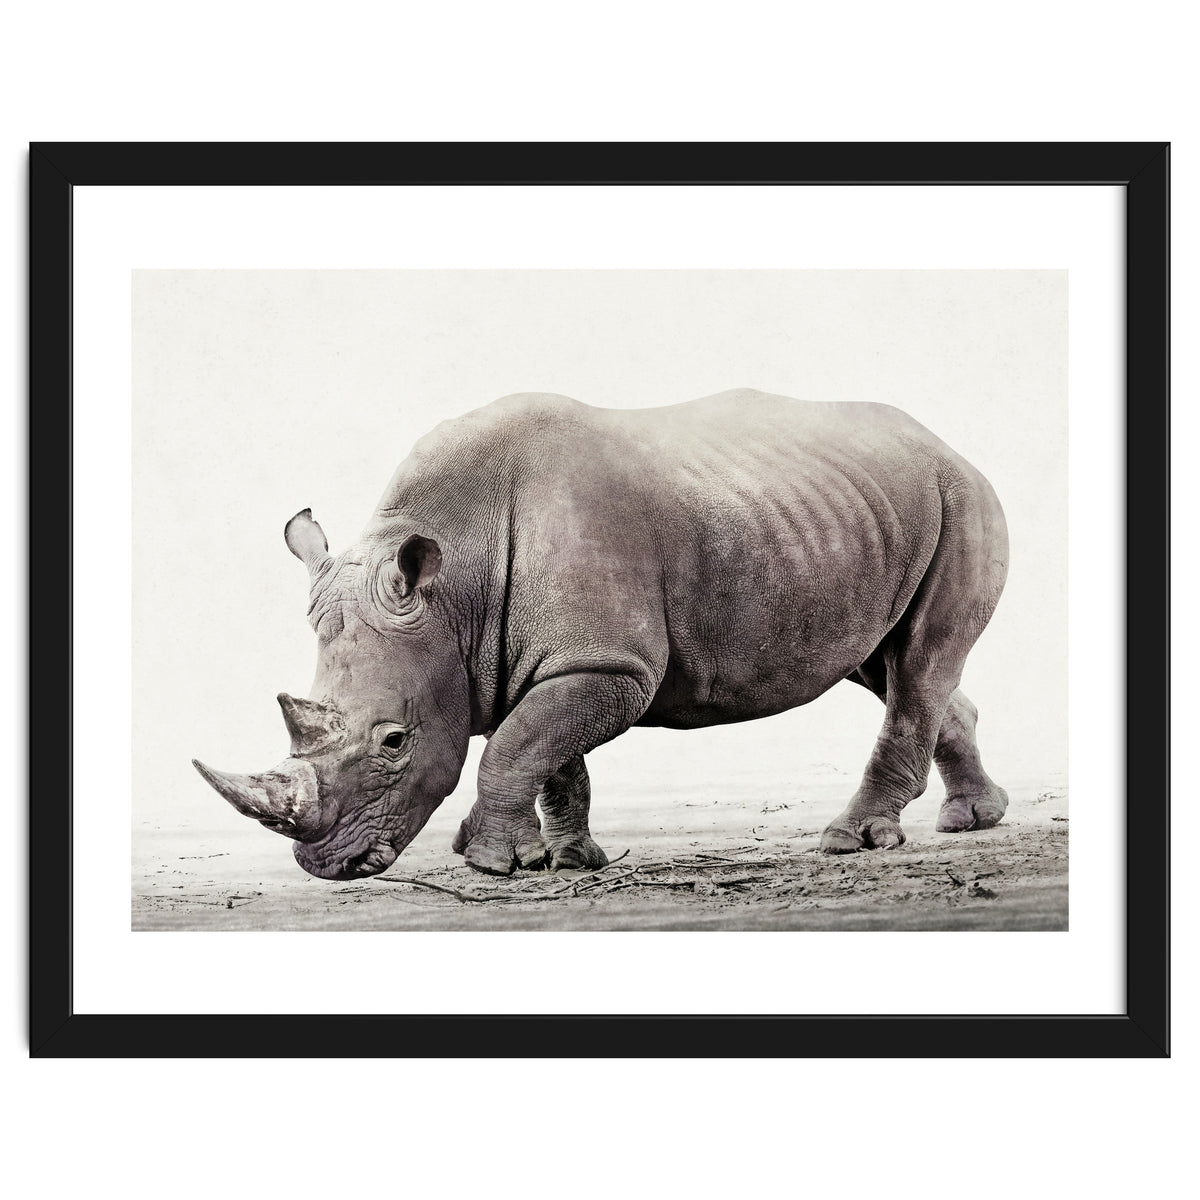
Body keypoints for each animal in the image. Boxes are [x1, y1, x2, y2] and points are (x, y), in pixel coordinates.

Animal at [193, 388, 1010, 880]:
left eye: (394, 741)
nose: (326, 864)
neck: (456, 586)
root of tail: (947, 443)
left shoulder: (609, 663)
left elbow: (519, 744)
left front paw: (490, 864)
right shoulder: (554, 659)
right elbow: (550, 753)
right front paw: (568, 859)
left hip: (962, 499)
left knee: (918, 663)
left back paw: (853, 840)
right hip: (857, 515)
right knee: (889, 665)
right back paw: (973, 820)